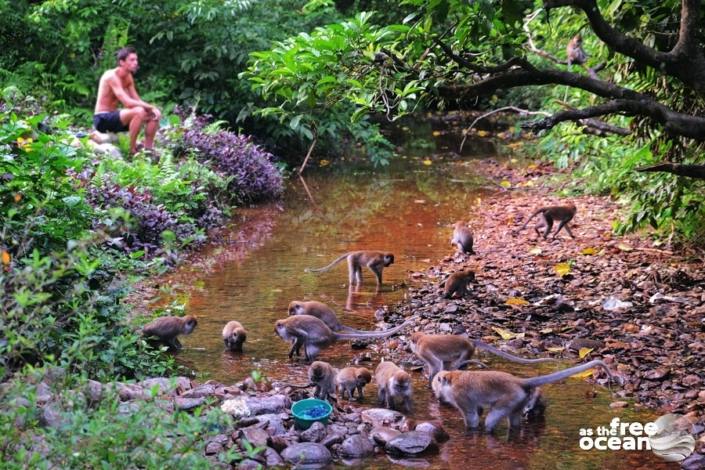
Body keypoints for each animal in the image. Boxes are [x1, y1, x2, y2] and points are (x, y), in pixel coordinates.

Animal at [274, 314, 410, 362]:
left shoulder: (291, 328)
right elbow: (299, 340)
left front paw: (292, 354)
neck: (285, 324)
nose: (279, 336)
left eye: (277, 331)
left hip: (321, 340)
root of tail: (332, 334)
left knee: (310, 342)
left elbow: (303, 336)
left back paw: (308, 360)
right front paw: (295, 352)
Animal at [408, 330, 556, 386]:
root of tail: (469, 341)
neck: (420, 339)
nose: (409, 347)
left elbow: (437, 364)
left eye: (411, 342)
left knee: (458, 364)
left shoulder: (423, 349)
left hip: (466, 351)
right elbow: (442, 364)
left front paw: (430, 382)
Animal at [428, 360, 612, 434]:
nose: (436, 396)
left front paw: (469, 431)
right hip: (519, 400)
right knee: (515, 420)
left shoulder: (459, 395)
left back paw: (488, 431)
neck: (452, 378)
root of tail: (519, 381)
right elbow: (477, 410)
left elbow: (472, 416)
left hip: (511, 397)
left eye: (436, 385)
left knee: (493, 417)